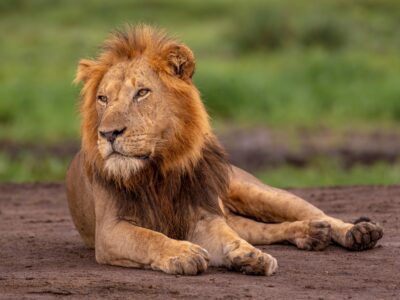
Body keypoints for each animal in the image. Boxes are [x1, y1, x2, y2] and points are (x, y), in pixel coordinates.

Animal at [67, 24, 382, 276]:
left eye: (142, 92)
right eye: (103, 99)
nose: (108, 134)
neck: (158, 170)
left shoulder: (203, 216)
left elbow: (226, 237)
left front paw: (248, 255)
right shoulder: (109, 230)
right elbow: (149, 237)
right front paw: (185, 253)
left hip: (256, 191)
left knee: (317, 213)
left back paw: (357, 232)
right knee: (265, 229)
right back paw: (311, 234)